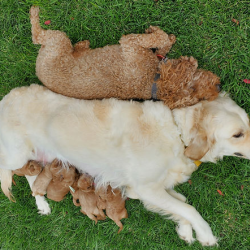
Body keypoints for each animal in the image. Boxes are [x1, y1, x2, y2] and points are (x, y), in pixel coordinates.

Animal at [0, 85, 250, 245]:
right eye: (237, 134)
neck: (178, 134)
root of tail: (5, 98)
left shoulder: (144, 190)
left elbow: (182, 202)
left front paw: (186, 230)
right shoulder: (146, 188)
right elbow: (189, 208)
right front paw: (205, 234)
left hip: (34, 156)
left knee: (30, 173)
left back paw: (42, 203)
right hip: (17, 153)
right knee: (9, 169)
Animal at [30, 6, 220, 108]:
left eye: (200, 98)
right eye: (193, 88)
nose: (219, 87)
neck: (153, 79)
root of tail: (38, 72)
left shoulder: (131, 44)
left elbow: (159, 41)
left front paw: (160, 36)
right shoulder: (130, 44)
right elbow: (160, 40)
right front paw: (163, 35)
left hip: (58, 43)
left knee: (38, 37)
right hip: (58, 41)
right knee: (36, 36)